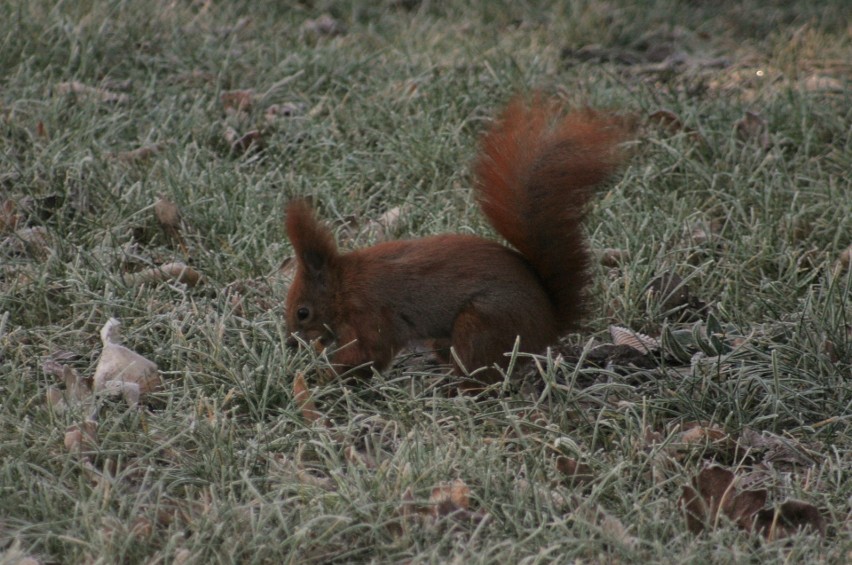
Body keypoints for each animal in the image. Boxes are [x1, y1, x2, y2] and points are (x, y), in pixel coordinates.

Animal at [286, 97, 624, 384]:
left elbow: (370, 353)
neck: (343, 288)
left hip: (482, 324)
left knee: (481, 373)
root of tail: (550, 323)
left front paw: (322, 376)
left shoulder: (370, 313)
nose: (290, 343)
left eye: (303, 312)